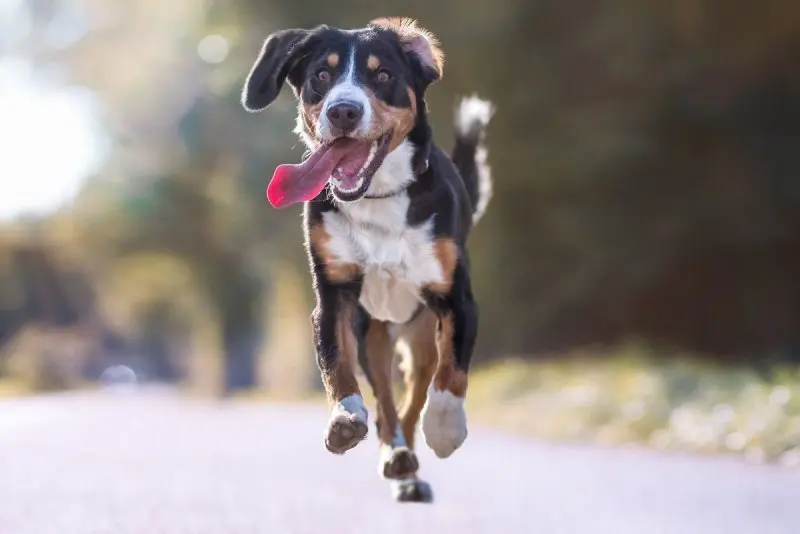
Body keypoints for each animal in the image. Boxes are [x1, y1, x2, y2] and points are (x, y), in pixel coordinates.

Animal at [241, 15, 494, 502]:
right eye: (322, 74)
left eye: (383, 75)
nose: (343, 111)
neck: (379, 196)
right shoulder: (335, 296)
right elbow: (336, 366)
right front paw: (343, 418)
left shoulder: (457, 299)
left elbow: (451, 378)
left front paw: (446, 430)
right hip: (373, 334)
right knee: (387, 406)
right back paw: (396, 458)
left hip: (419, 338)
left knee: (414, 399)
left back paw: (410, 461)